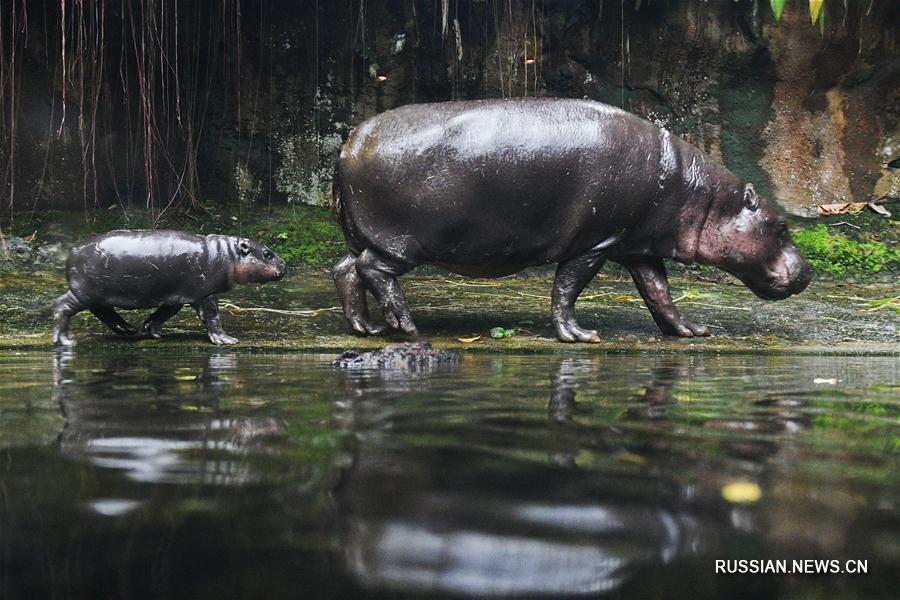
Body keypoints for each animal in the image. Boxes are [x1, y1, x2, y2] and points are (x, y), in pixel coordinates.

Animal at [52, 232, 284, 350]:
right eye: (267, 254)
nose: (284, 263)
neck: (228, 253)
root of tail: (72, 251)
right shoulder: (205, 293)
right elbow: (212, 316)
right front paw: (227, 340)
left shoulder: (176, 295)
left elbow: (162, 314)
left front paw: (152, 331)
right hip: (85, 292)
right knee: (62, 306)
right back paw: (64, 341)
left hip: (97, 294)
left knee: (102, 311)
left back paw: (128, 329)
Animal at [332, 98, 816, 342]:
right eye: (783, 227)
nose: (809, 272)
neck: (701, 195)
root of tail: (347, 143)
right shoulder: (596, 241)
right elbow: (568, 288)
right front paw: (581, 336)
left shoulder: (636, 245)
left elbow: (659, 292)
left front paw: (692, 331)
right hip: (405, 240)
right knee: (372, 270)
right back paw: (405, 326)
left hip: (369, 235)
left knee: (345, 269)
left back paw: (368, 328)